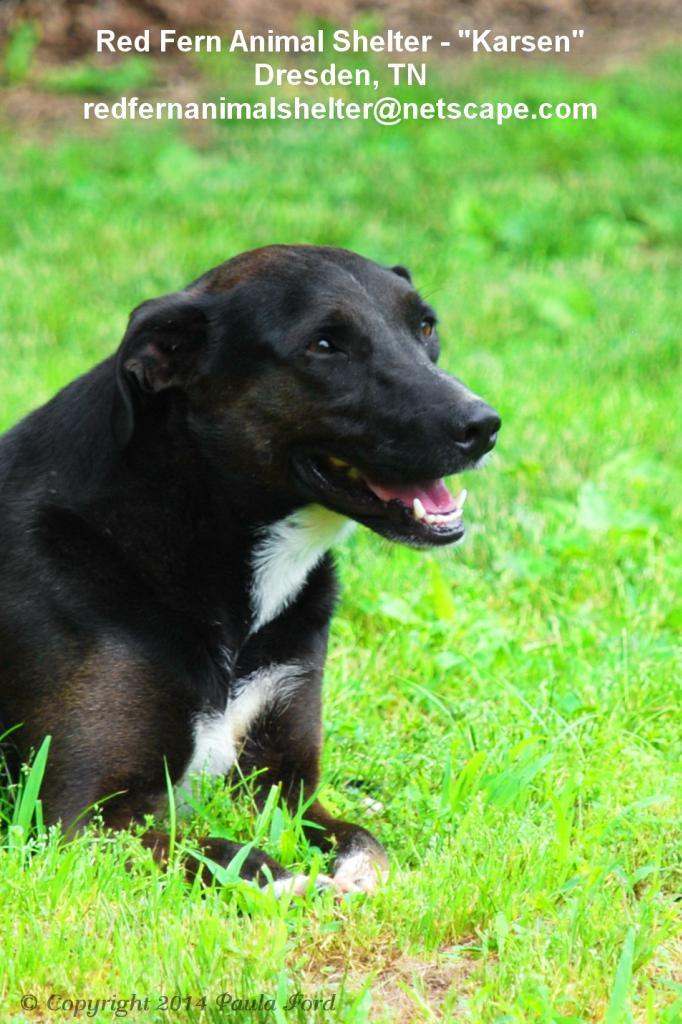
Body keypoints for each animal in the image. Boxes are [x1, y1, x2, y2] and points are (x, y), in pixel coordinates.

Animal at [0, 243, 497, 892]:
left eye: (426, 328)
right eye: (325, 345)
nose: (484, 426)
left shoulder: (283, 786)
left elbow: (363, 842)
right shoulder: (78, 819)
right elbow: (241, 860)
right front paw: (302, 888)